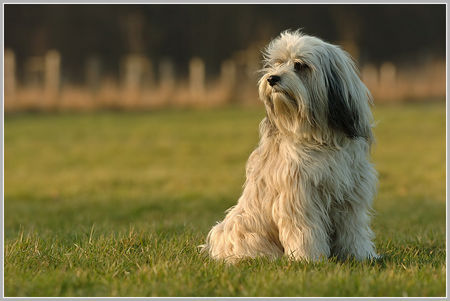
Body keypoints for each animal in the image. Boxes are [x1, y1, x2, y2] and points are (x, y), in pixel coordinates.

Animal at [200, 30, 376, 262]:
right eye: (277, 63)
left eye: (300, 65)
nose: (272, 78)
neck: (319, 138)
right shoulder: (299, 196)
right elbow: (305, 231)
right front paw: (309, 258)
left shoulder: (351, 195)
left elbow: (353, 229)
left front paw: (360, 255)